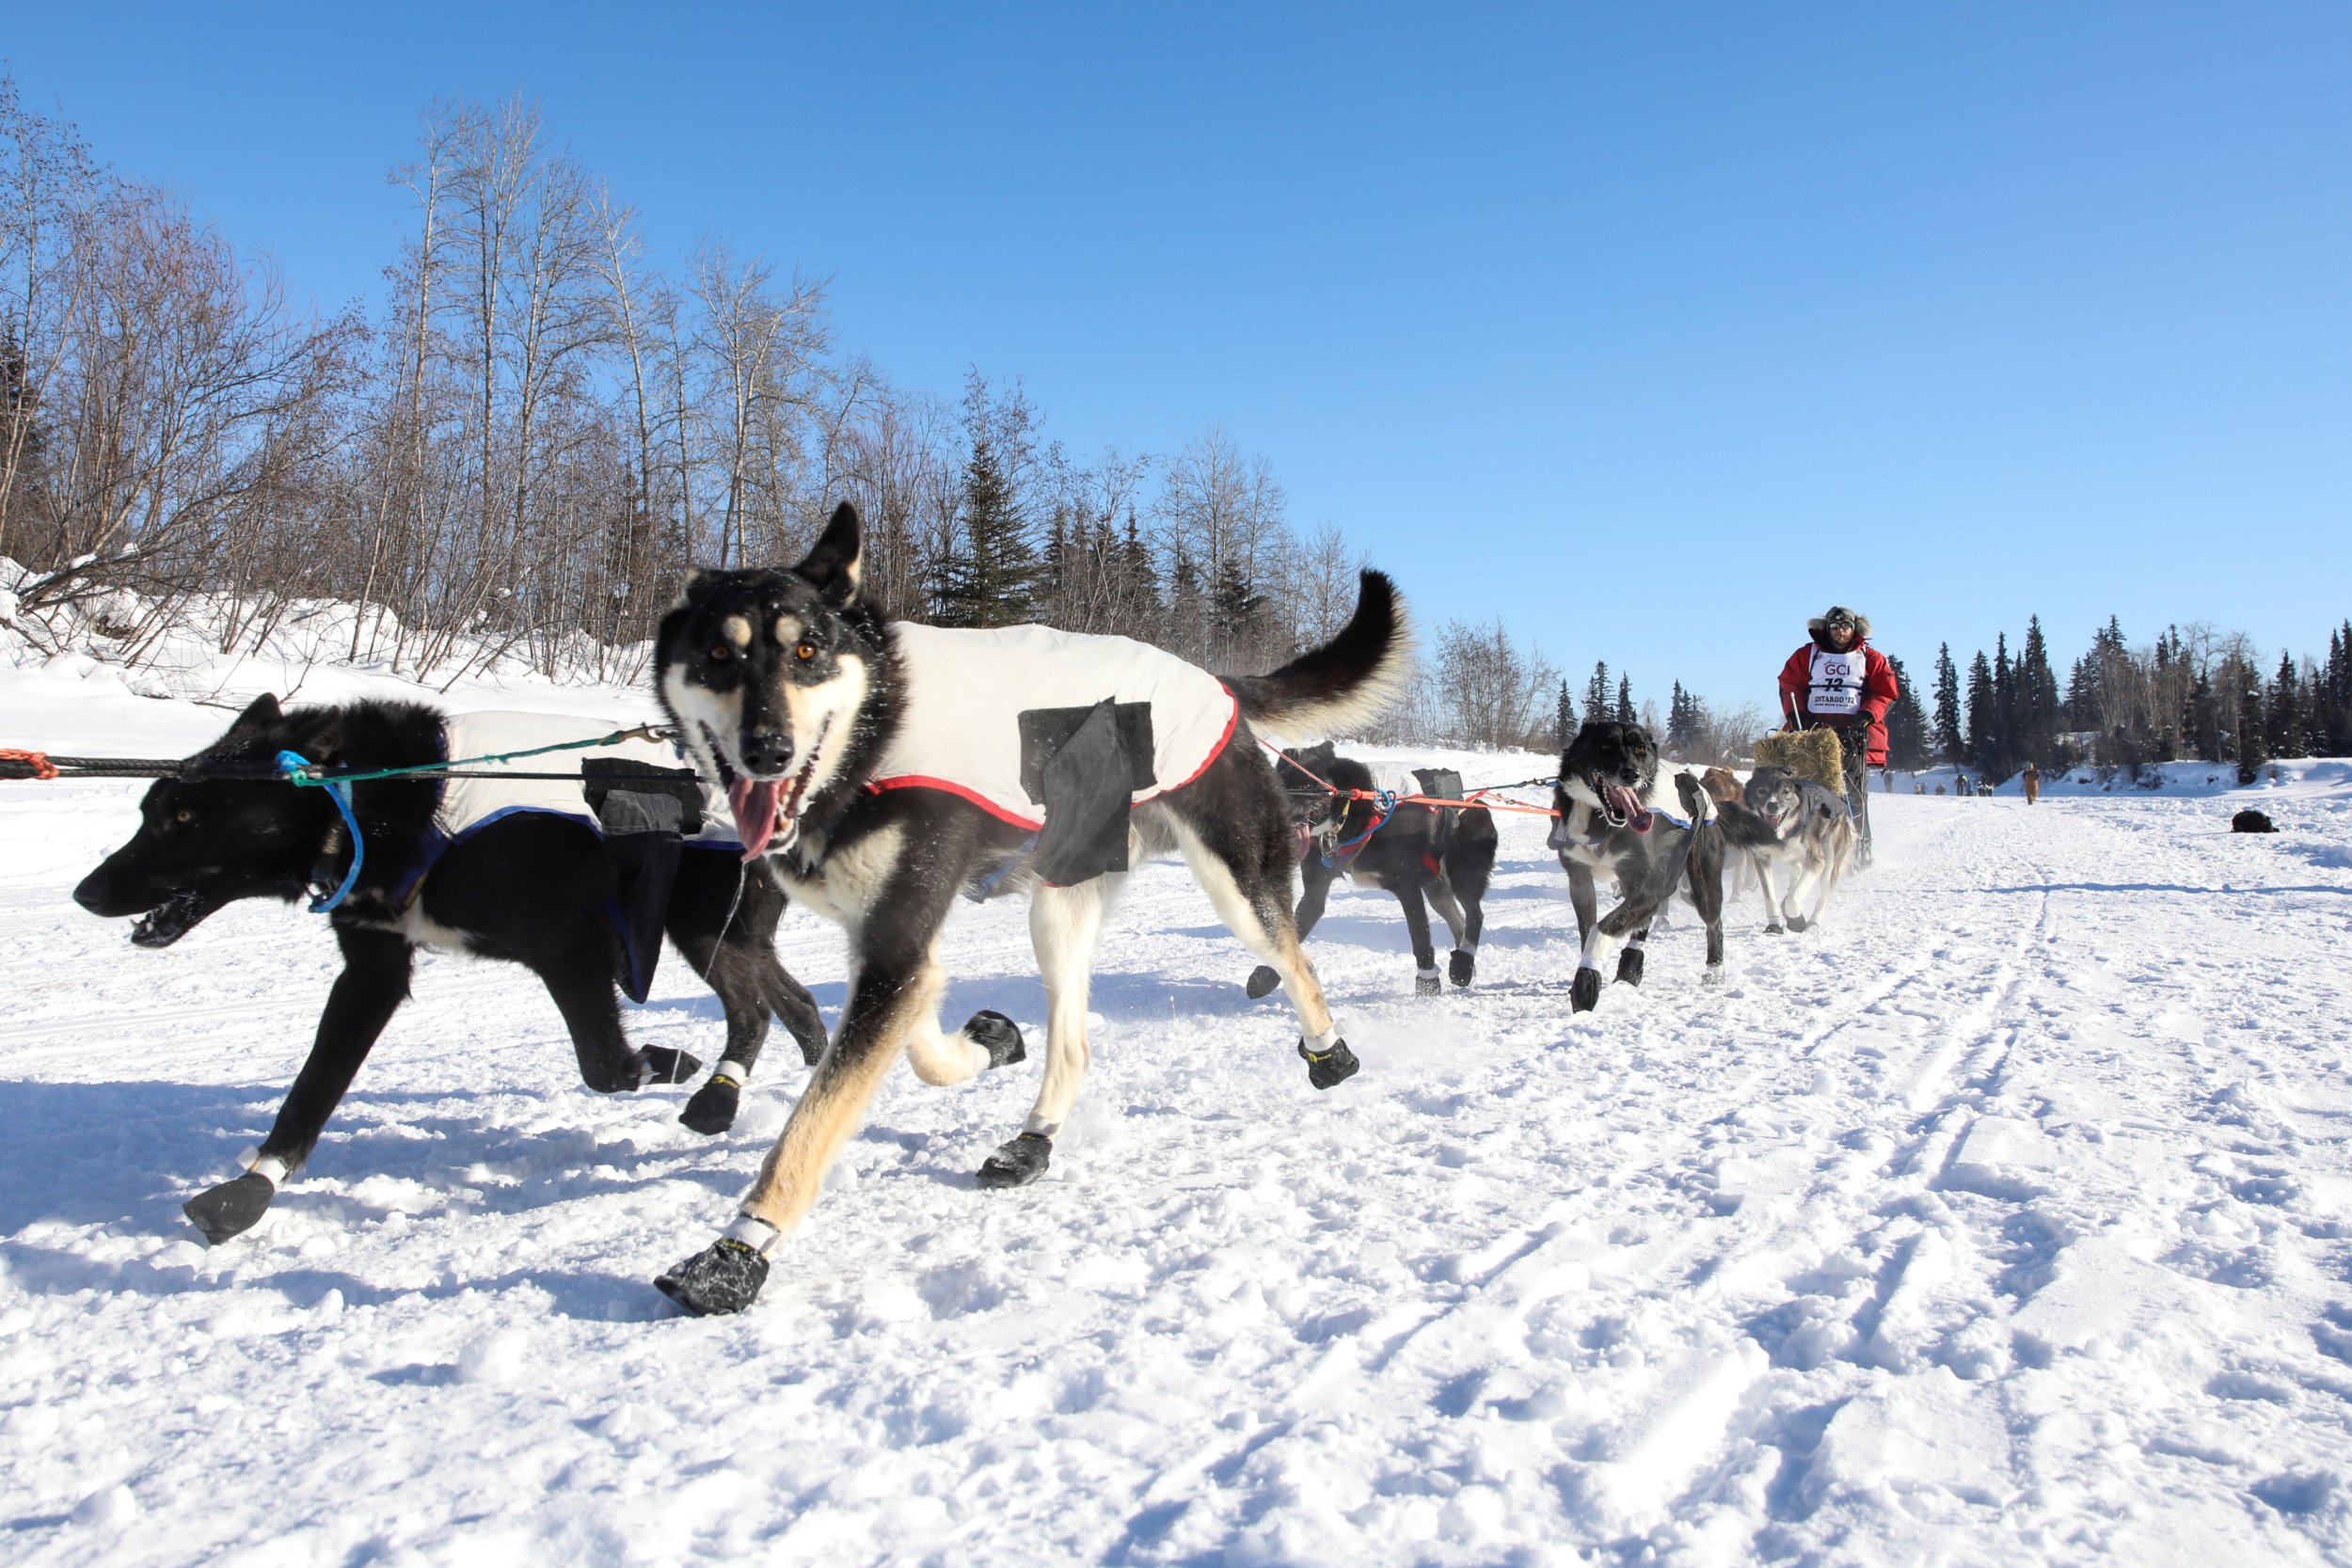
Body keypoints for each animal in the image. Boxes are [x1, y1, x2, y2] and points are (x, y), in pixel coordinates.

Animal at [71, 700, 828, 1250]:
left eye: (185, 817)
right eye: (149, 809)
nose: (87, 891)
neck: (382, 803)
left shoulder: (572, 950)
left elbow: (607, 1064)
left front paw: (665, 1059)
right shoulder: (372, 970)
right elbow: (311, 1092)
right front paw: (252, 1187)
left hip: (702, 927)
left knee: (753, 1007)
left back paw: (718, 1095)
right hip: (717, 933)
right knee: (792, 1002)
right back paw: (791, 1078)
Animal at [654, 502, 1402, 1316]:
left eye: (808, 649)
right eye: (719, 655)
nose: (768, 748)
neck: (873, 731)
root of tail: (1213, 680)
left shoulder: (895, 944)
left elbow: (809, 1126)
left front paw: (734, 1253)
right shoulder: (889, 946)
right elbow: (921, 1043)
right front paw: (989, 1039)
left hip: (1234, 884)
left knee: (1298, 963)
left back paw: (1331, 1054)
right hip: (1059, 911)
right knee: (1073, 1048)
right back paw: (1032, 1141)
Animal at [1251, 747, 1505, 991]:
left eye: (1306, 785)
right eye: (1279, 782)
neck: (1352, 813)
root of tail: (1479, 801)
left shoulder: (1407, 887)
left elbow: (1420, 941)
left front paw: (1427, 987)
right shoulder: (1316, 889)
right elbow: (1296, 929)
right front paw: (1265, 978)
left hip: (1463, 873)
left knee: (1475, 914)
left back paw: (1463, 963)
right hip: (1437, 890)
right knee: (1459, 922)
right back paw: (1464, 965)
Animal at [1543, 719, 1731, 1010]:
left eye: (1641, 749)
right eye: (1605, 745)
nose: (1631, 773)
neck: (1599, 818)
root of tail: (1696, 785)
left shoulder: (1649, 887)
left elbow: (1602, 927)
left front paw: (1587, 979)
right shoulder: (1580, 880)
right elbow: (1587, 929)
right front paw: (1590, 971)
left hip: (1702, 883)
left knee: (1714, 923)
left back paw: (1714, 971)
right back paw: (1629, 973)